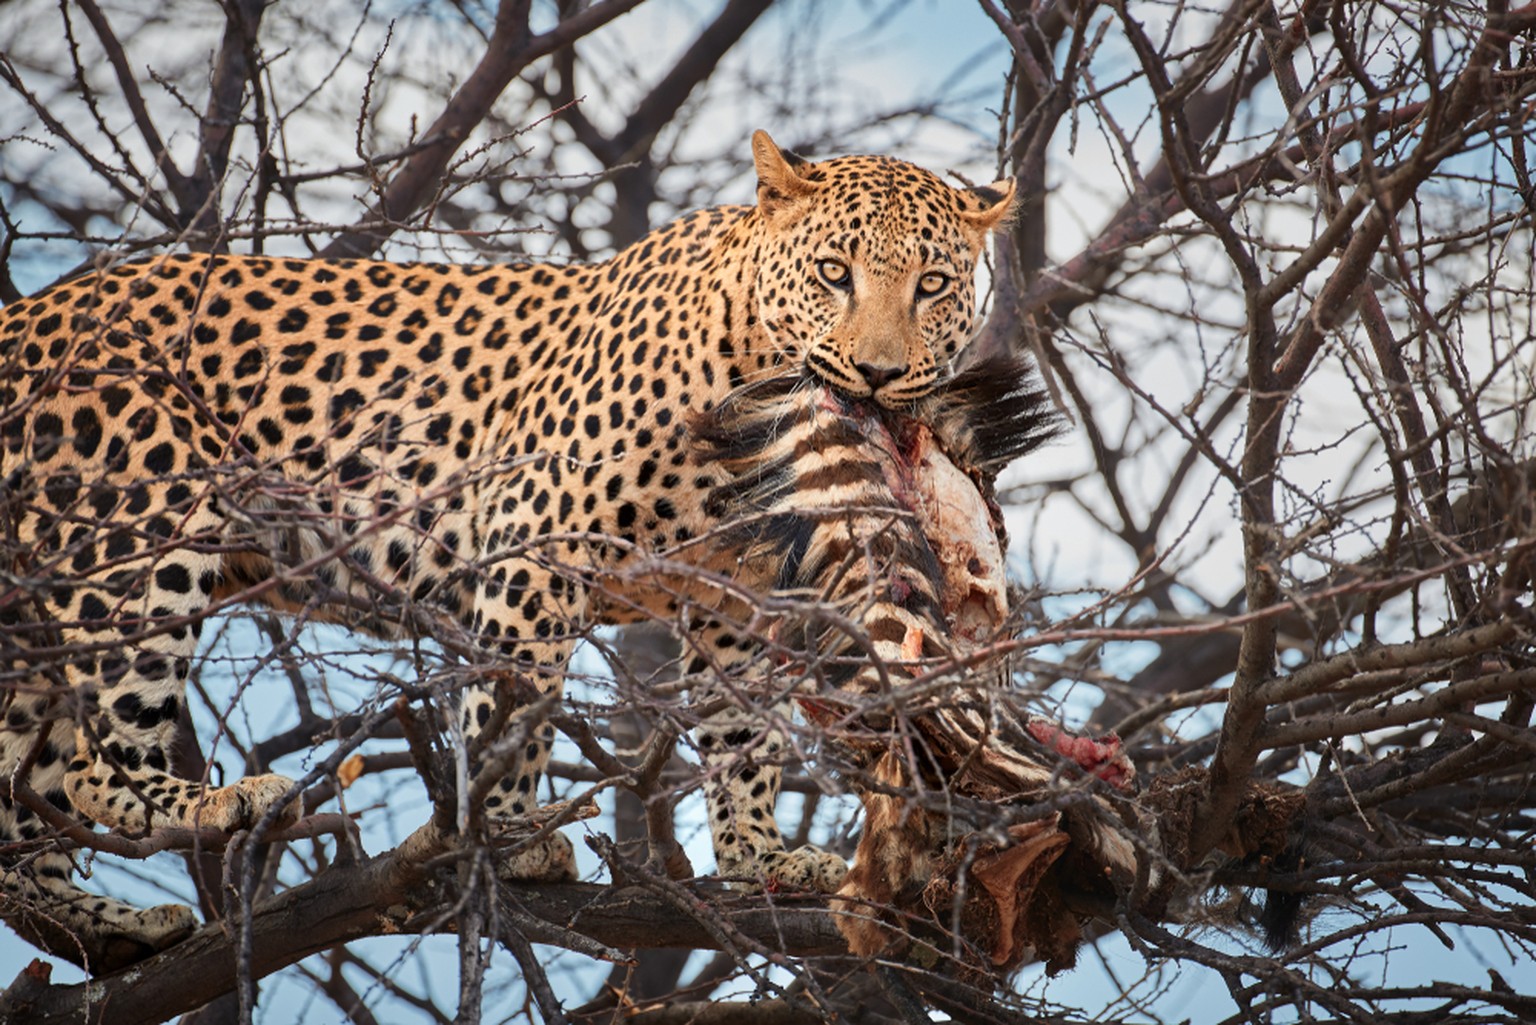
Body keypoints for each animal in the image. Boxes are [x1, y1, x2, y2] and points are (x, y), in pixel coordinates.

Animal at [6, 128, 1019, 971]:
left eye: (931, 284)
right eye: (835, 272)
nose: (879, 374)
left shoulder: (735, 597)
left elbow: (742, 736)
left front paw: (755, 858)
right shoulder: (534, 537)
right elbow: (514, 697)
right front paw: (507, 836)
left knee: (21, 790)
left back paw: (105, 930)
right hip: (142, 528)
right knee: (87, 755)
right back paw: (217, 804)